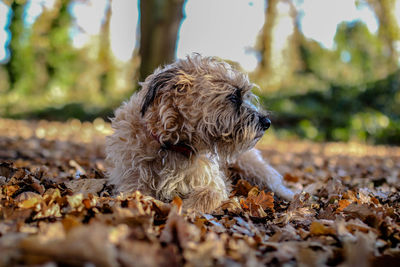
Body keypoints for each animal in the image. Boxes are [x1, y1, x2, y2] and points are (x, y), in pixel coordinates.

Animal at [106, 55, 294, 214]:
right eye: (234, 97)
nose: (267, 122)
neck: (172, 144)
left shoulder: (213, 184)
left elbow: (206, 196)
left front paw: (183, 209)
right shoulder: (131, 180)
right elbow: (137, 194)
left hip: (252, 166)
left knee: (276, 184)